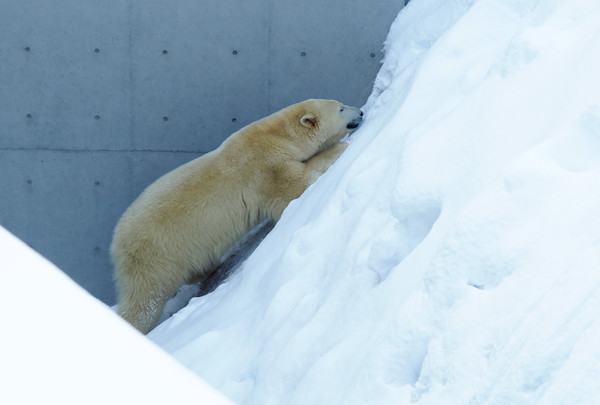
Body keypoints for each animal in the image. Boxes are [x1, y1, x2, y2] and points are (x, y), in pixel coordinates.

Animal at [112, 98, 364, 332]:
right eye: (341, 108)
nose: (361, 112)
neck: (277, 136)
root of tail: (116, 244)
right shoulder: (267, 168)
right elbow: (295, 187)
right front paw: (340, 147)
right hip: (155, 255)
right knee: (145, 302)